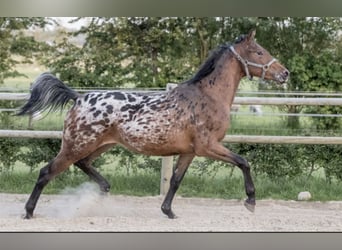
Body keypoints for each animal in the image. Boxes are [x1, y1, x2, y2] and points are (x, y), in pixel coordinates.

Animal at [16, 30, 288, 220]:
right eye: (259, 52)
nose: (285, 73)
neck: (208, 96)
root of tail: (78, 97)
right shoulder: (208, 146)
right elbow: (244, 162)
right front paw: (250, 201)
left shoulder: (189, 152)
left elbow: (176, 181)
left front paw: (168, 211)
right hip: (75, 145)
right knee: (46, 172)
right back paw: (29, 212)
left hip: (100, 145)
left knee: (82, 164)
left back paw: (103, 188)